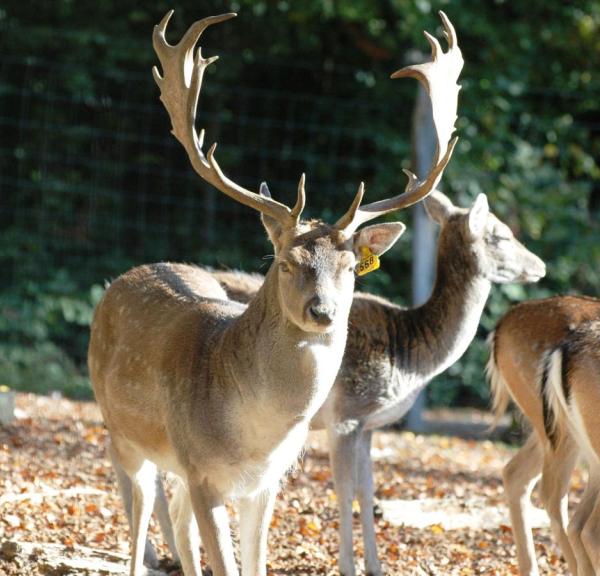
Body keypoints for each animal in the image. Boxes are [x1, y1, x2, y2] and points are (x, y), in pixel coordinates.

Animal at [89, 9, 464, 576]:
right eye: (286, 263)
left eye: (351, 266)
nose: (322, 311)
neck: (255, 436)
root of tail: (122, 281)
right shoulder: (201, 470)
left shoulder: (266, 483)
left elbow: (255, 560)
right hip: (121, 430)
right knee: (136, 513)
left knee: (173, 519)